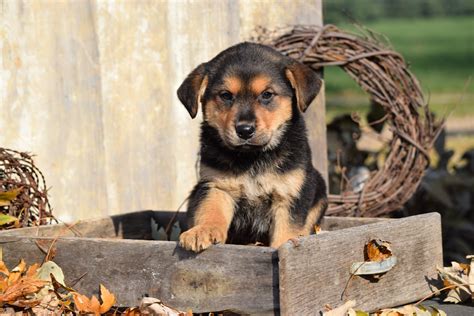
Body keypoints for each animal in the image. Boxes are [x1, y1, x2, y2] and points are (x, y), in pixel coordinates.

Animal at [176, 43, 328, 253]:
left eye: (267, 95)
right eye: (225, 95)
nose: (245, 130)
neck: (252, 157)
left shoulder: (290, 194)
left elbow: (287, 229)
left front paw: (283, 246)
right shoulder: (216, 185)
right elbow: (210, 210)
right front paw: (202, 231)